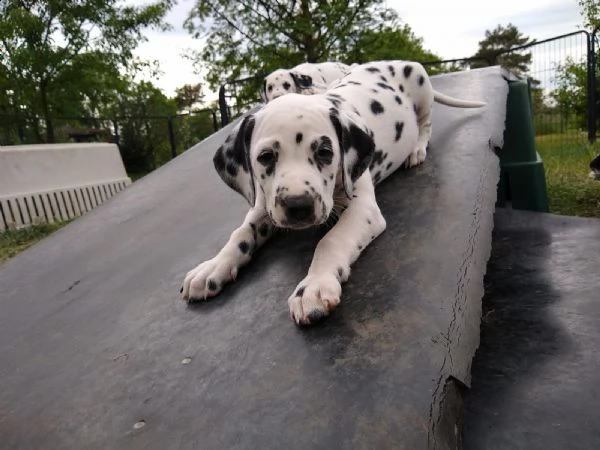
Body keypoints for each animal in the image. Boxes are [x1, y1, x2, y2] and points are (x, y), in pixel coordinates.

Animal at [180, 60, 486, 326]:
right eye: (265, 157)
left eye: (325, 152)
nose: (298, 206)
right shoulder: (264, 206)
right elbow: (240, 234)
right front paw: (213, 266)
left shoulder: (363, 208)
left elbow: (330, 240)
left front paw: (313, 286)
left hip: (421, 85)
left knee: (426, 123)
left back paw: (417, 150)